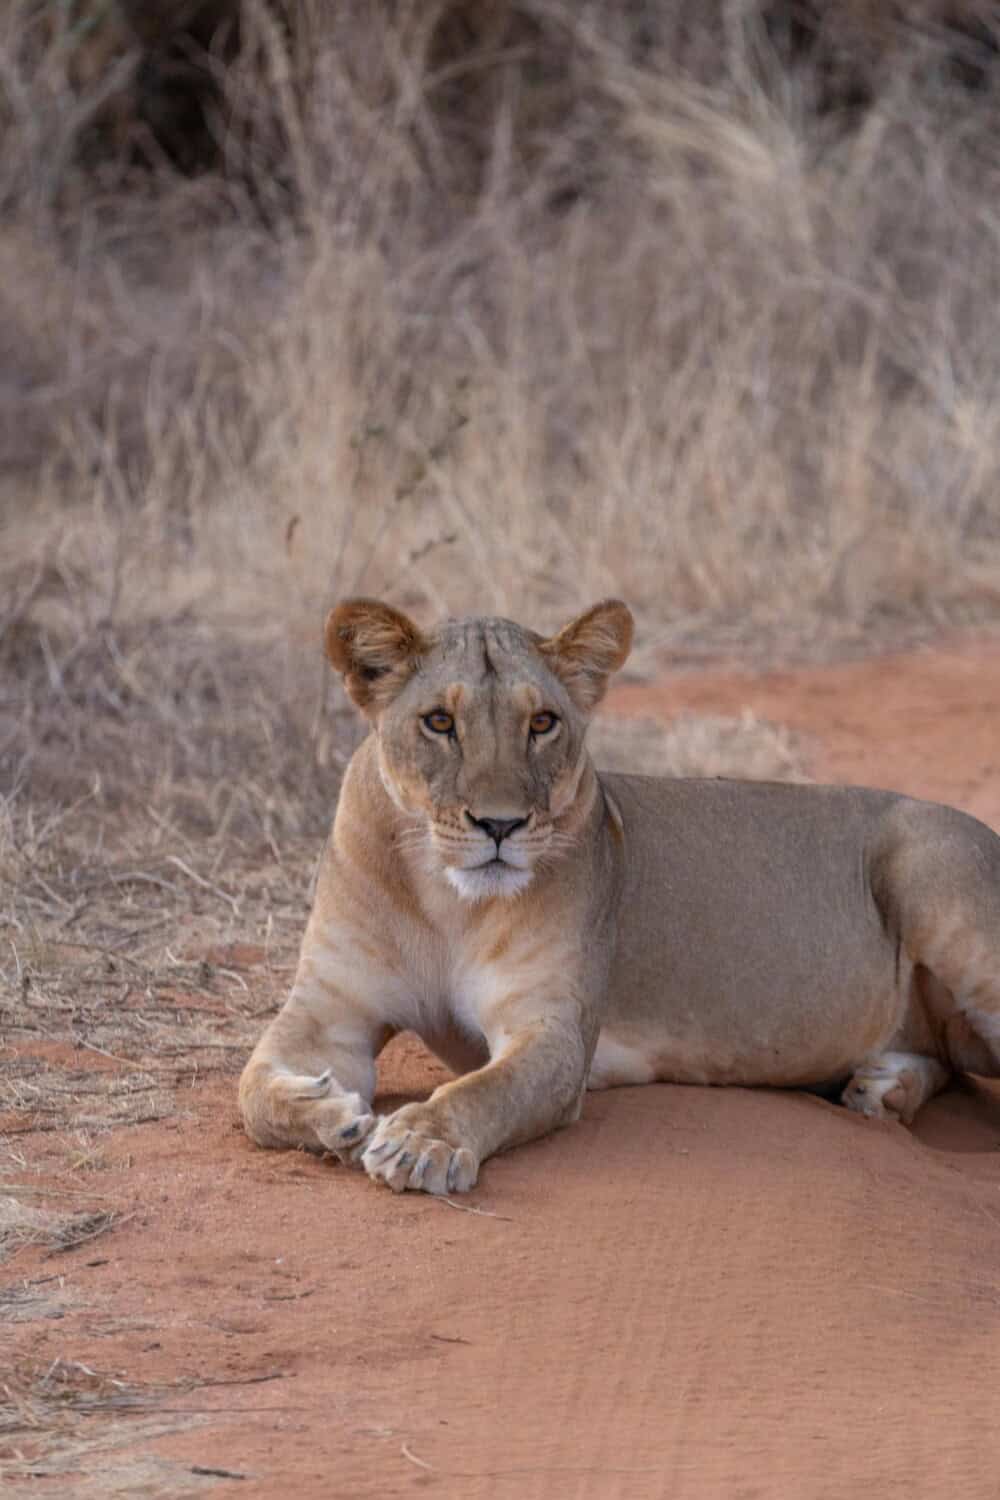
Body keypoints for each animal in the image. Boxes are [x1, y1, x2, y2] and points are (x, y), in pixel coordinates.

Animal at [239, 597, 1000, 1194]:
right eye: (439, 722)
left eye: (542, 723)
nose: (499, 825)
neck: (444, 900)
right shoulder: (334, 1004)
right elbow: (251, 1091)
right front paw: (330, 1112)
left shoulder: (554, 1030)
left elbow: (487, 1090)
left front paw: (421, 1139)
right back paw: (884, 1088)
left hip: (939, 881)